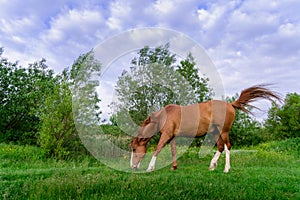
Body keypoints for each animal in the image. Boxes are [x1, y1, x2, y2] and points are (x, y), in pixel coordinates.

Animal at [129, 84, 282, 172]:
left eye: (134, 149)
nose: (132, 166)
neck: (164, 116)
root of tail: (230, 104)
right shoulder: (172, 136)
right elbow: (173, 151)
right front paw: (174, 167)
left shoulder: (166, 135)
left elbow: (157, 149)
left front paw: (150, 167)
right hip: (215, 133)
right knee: (220, 147)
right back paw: (212, 165)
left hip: (223, 131)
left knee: (227, 147)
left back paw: (226, 169)